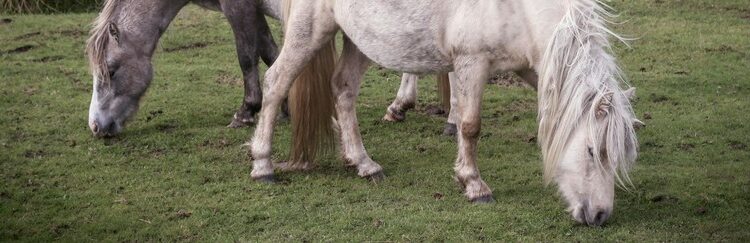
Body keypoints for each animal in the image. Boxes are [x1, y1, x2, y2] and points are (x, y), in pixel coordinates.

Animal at [251, 0, 640, 226]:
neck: (520, 9)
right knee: (276, 83)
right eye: (592, 151)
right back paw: (263, 165)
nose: (600, 216)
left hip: (360, 38)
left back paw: (364, 164)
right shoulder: (472, 62)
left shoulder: (533, 68)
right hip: (310, 29)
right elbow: (469, 125)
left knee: (343, 90)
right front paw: (474, 185)